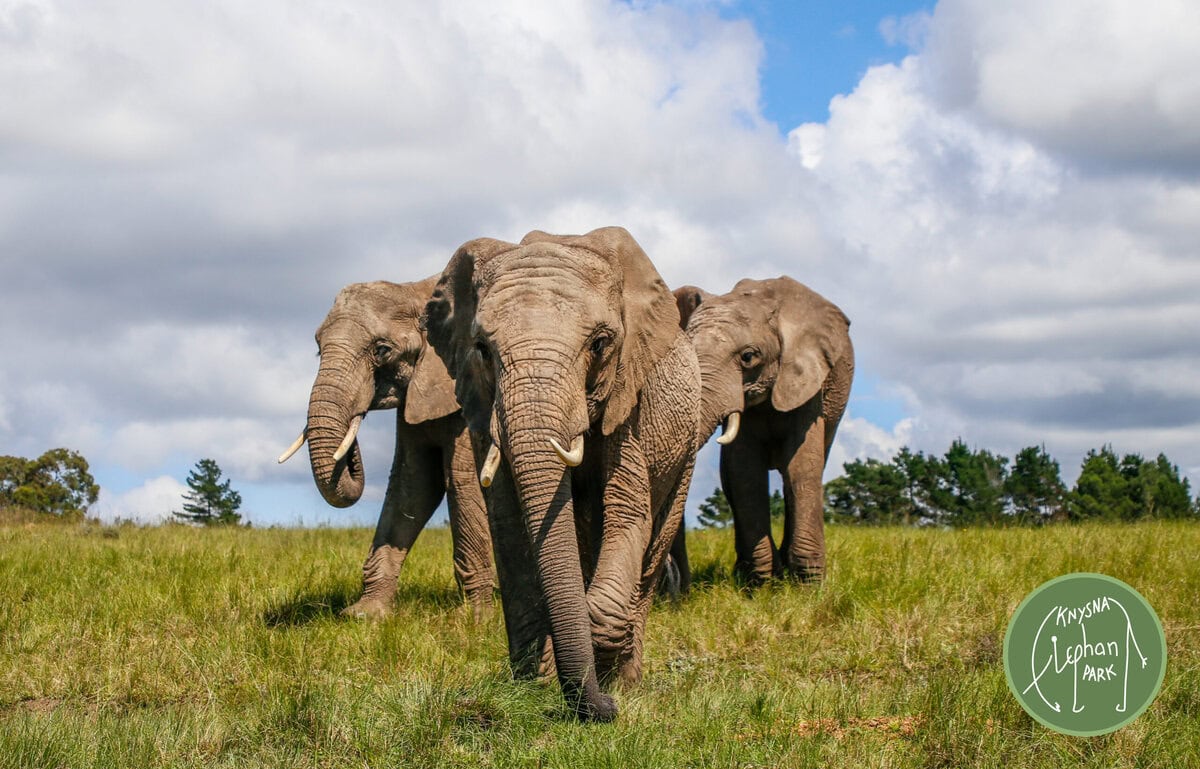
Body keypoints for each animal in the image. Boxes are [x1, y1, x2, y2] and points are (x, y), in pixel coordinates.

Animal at [278, 279, 495, 617]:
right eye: (318, 348)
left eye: (381, 350)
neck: (417, 289)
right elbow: (413, 484)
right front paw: (364, 614)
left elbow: (465, 482)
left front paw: (477, 618)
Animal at [423, 226, 699, 722]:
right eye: (482, 350)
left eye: (601, 344)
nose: (604, 709)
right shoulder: (482, 409)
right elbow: (508, 524)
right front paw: (532, 685)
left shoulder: (629, 402)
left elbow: (628, 513)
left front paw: (603, 674)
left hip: (685, 447)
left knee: (653, 546)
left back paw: (627, 677)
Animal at [674, 277, 853, 585]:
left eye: (748, 357)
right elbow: (745, 471)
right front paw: (761, 584)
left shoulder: (808, 381)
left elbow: (802, 466)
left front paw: (808, 585)